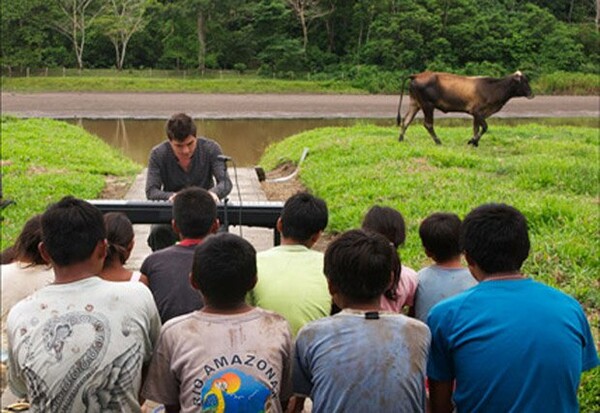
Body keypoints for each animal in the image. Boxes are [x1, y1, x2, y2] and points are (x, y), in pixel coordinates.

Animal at [396, 71, 532, 146]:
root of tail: (417, 75)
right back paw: (438, 141)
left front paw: (475, 142)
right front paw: (472, 141)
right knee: (428, 124)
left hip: (415, 103)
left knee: (406, 120)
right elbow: (484, 127)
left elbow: (476, 128)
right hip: (427, 105)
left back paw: (401, 139)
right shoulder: (477, 111)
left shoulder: (478, 114)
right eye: (524, 82)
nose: (531, 93)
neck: (493, 88)